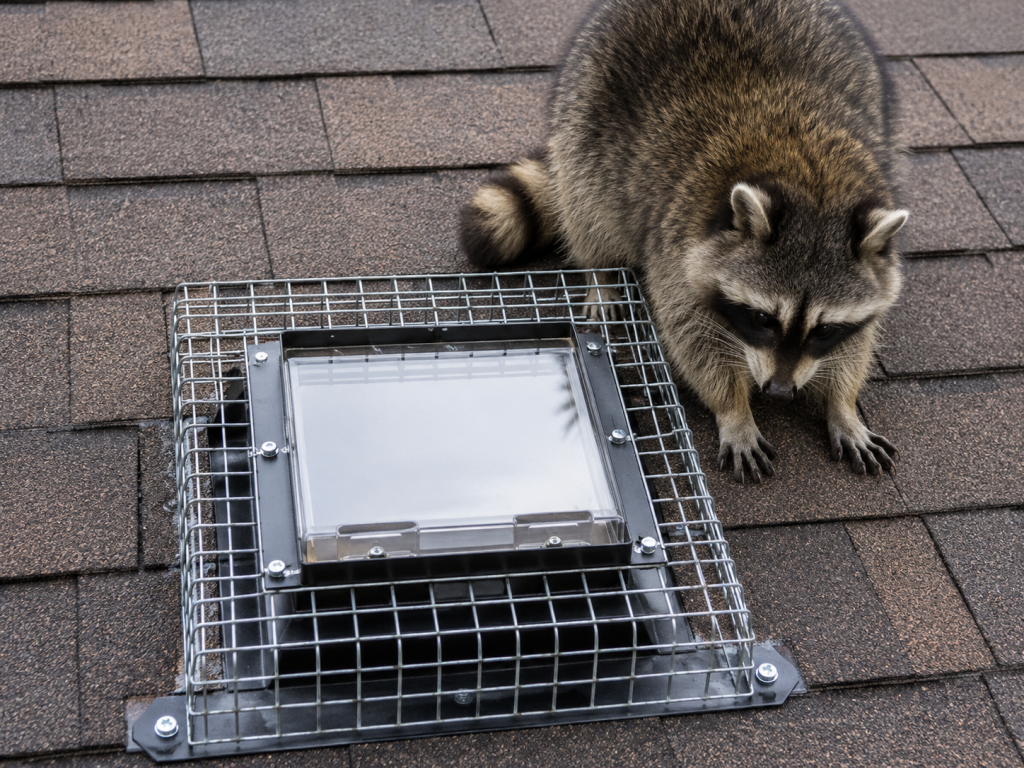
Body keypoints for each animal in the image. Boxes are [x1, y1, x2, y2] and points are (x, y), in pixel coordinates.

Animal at [459, 0, 907, 482]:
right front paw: (733, 408)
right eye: (763, 318)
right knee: (588, 202)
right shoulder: (677, 240)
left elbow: (856, 342)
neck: (813, 183)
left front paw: (842, 404)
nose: (779, 391)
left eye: (824, 329)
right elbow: (691, 335)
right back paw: (599, 271)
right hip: (587, 106)